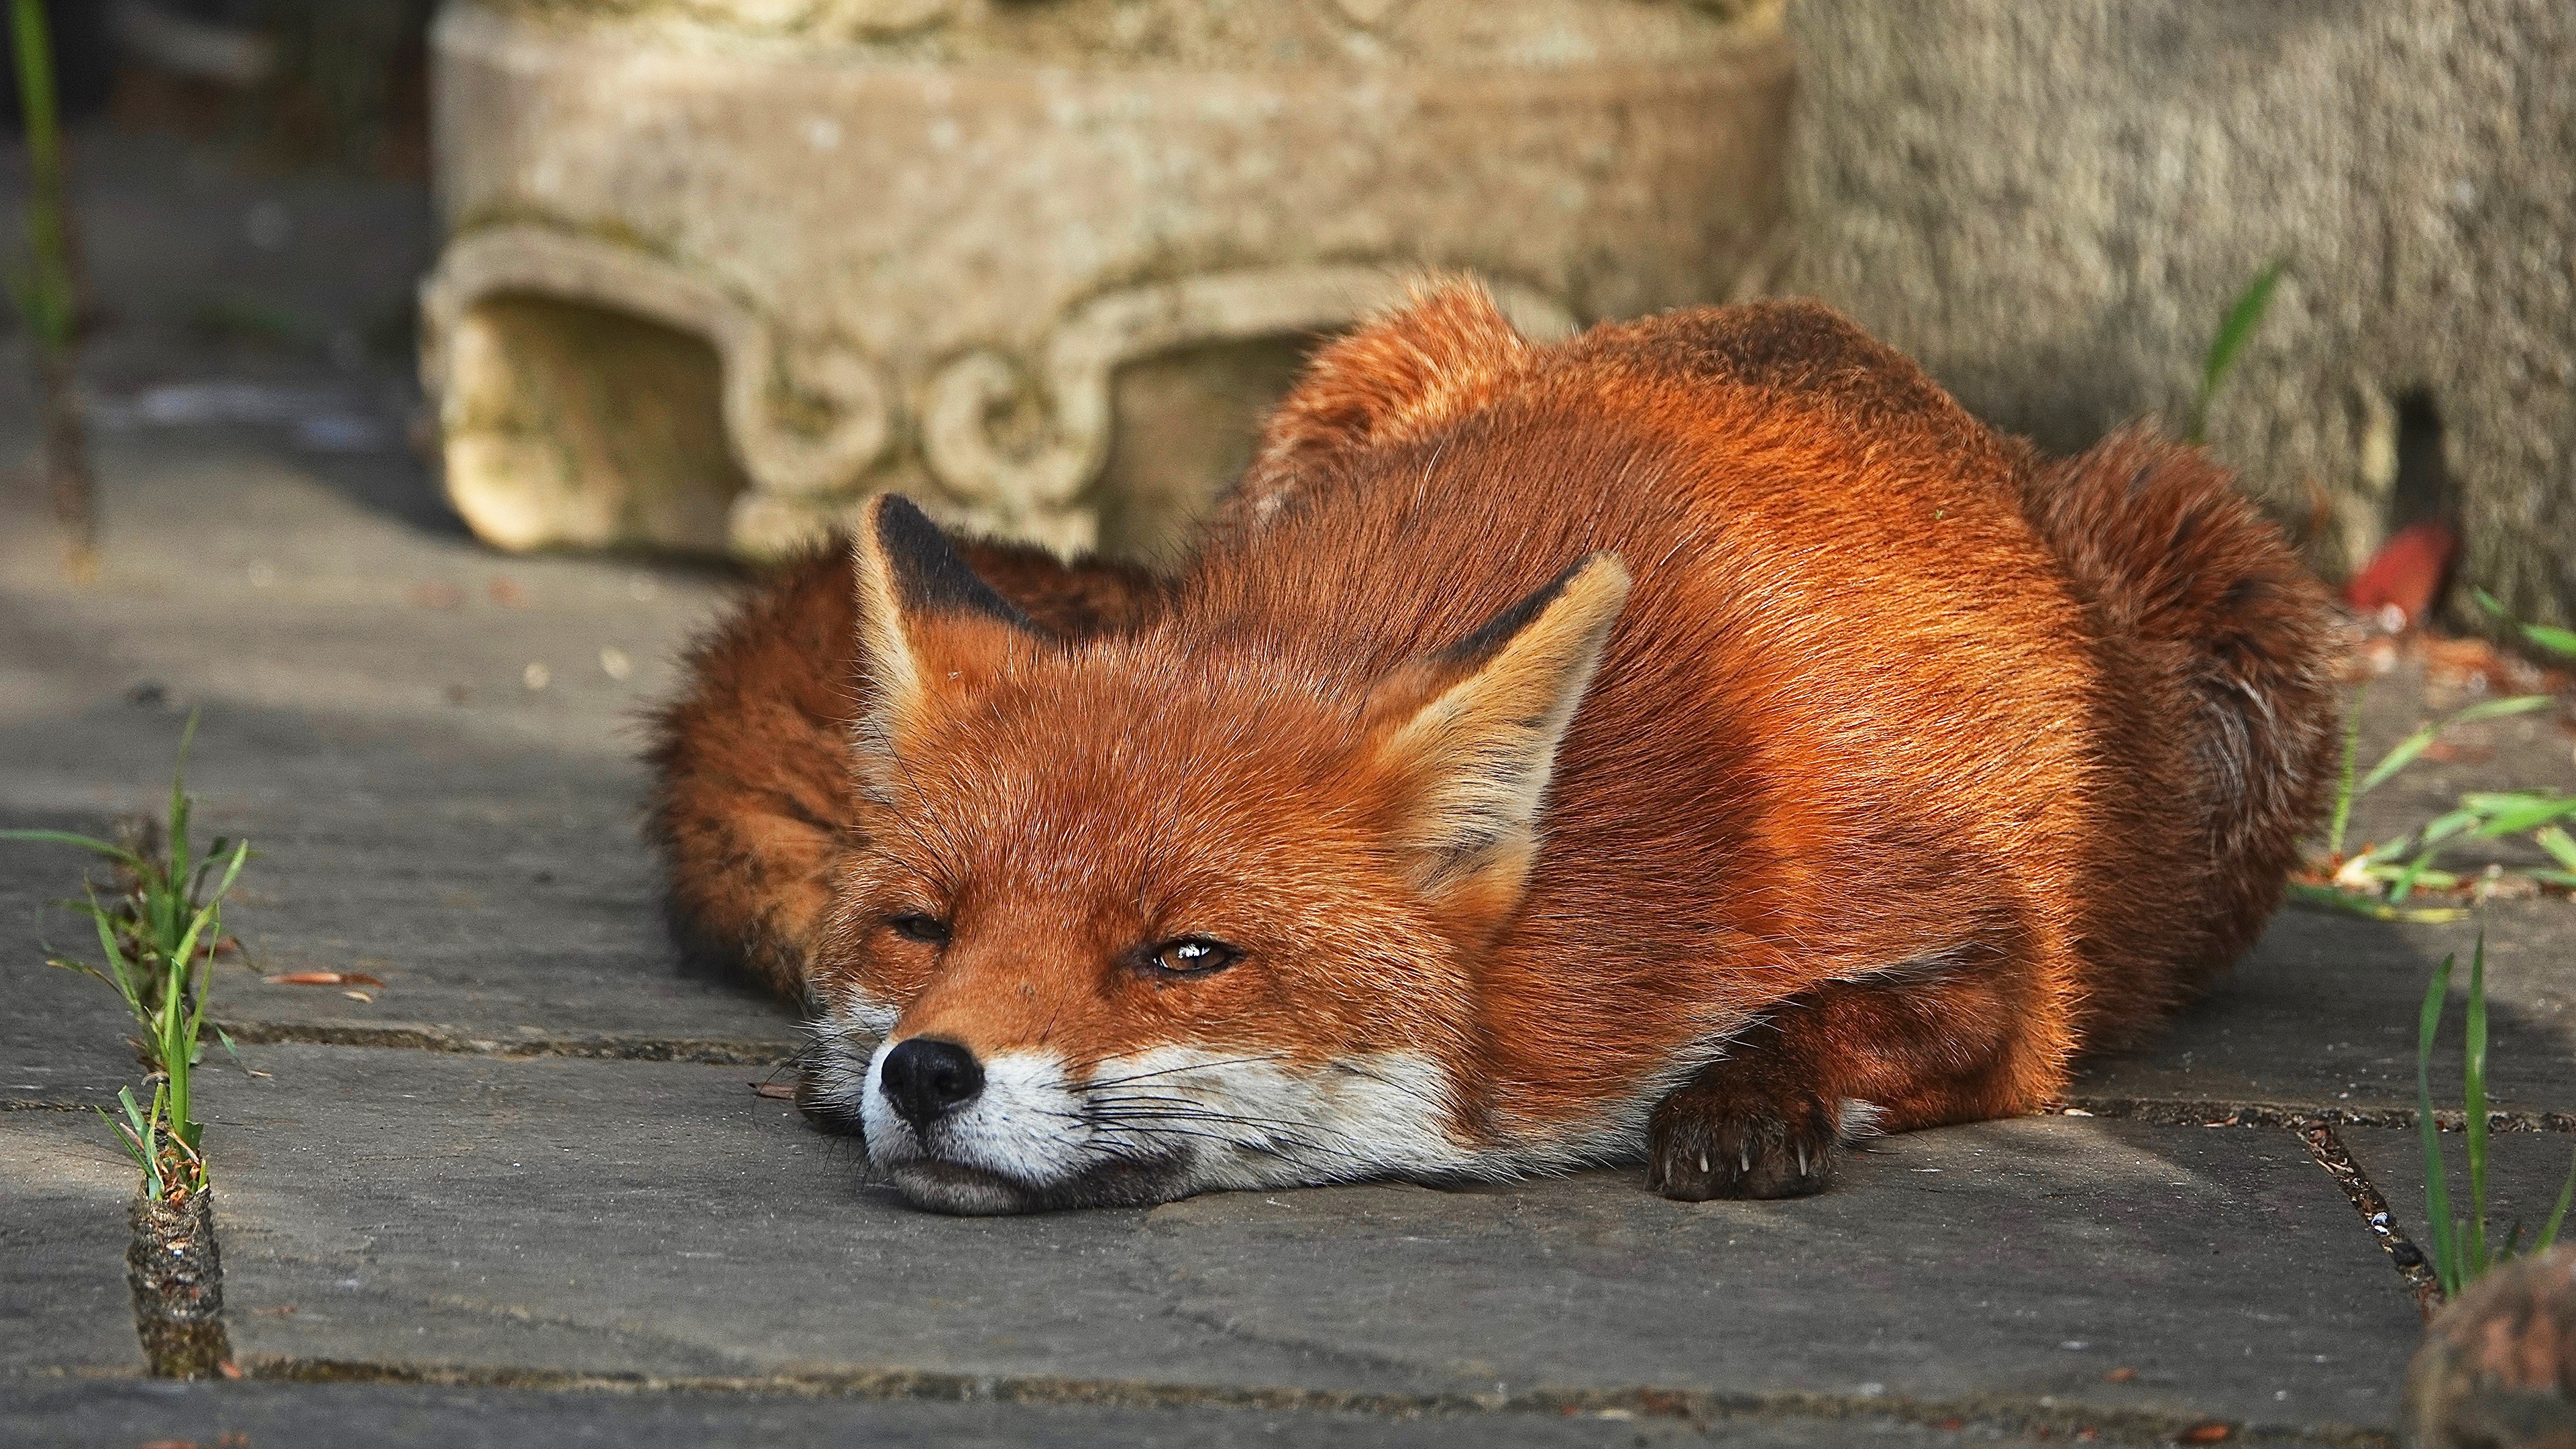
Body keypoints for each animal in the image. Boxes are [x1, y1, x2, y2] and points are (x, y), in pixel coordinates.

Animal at [654, 280, 2349, 1206]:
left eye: (1185, 955)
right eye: (923, 927)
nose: (927, 1071)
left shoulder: (2008, 956)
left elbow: (1863, 1019)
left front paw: (1751, 1093)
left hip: (2242, 621)